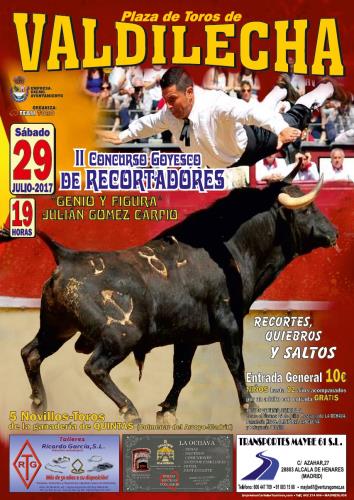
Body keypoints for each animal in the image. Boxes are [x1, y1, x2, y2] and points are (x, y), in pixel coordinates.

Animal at [0, 170, 338, 424]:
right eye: (307, 209)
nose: (334, 234)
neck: (229, 247)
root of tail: (67, 256)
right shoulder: (230, 325)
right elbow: (236, 365)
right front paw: (251, 410)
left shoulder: (187, 336)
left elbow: (182, 373)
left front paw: (167, 410)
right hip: (121, 336)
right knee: (94, 368)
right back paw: (130, 411)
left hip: (57, 328)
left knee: (31, 353)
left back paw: (39, 405)